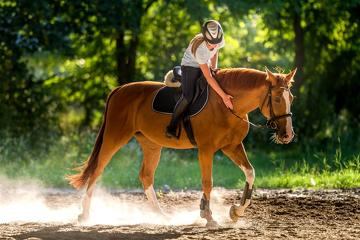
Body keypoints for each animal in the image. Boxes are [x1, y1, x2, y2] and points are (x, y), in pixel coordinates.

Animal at [67, 66, 296, 228]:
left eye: (291, 98)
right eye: (277, 98)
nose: (287, 135)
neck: (227, 104)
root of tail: (120, 89)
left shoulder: (232, 146)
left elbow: (250, 173)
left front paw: (236, 211)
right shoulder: (206, 149)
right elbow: (208, 182)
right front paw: (208, 216)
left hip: (151, 145)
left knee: (146, 176)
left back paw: (161, 215)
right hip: (114, 137)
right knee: (97, 171)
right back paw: (84, 215)